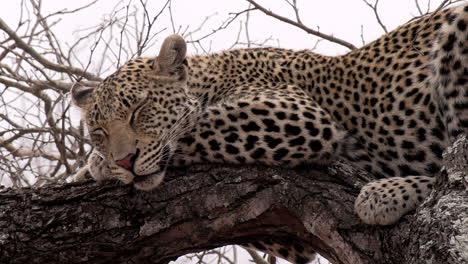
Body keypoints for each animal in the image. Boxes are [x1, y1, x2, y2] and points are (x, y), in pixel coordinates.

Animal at [71, 4, 466, 264]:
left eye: (139, 109)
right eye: (99, 130)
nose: (125, 160)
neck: (214, 76)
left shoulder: (299, 114)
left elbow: (194, 127)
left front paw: (97, 166)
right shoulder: (291, 235)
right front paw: (97, 165)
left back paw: (385, 193)